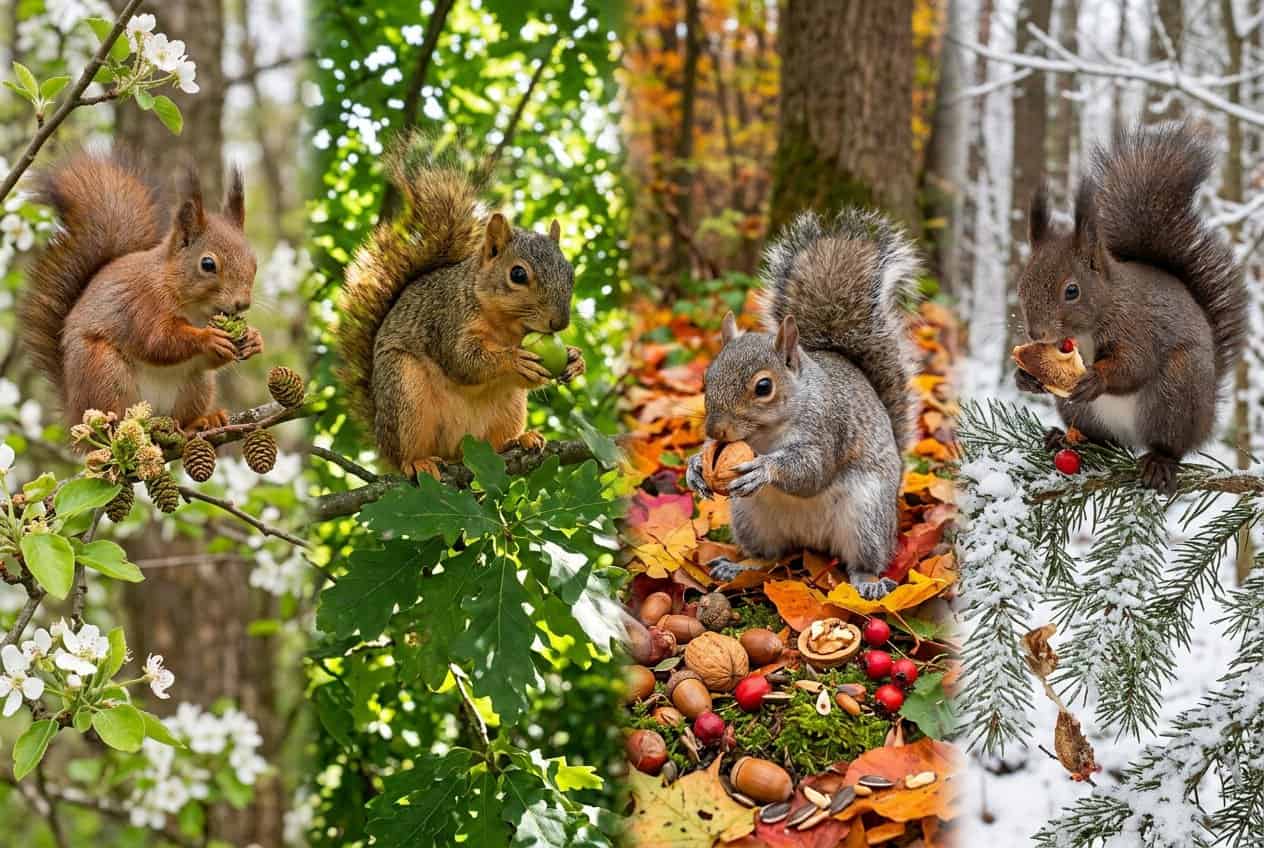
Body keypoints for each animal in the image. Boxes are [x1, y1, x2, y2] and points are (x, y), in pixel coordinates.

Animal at [20, 149, 262, 432]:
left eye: (254, 262)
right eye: (208, 264)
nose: (242, 303)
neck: (195, 310)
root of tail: (73, 409)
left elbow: (207, 359)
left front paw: (254, 338)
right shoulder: (142, 304)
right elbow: (157, 341)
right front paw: (208, 338)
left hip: (197, 385)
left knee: (183, 415)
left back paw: (201, 421)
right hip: (102, 370)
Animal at [337, 136, 585, 479]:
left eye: (570, 272)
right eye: (518, 274)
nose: (559, 323)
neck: (507, 327)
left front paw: (574, 359)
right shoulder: (447, 320)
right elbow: (462, 360)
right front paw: (512, 359)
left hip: (508, 407)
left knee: (495, 443)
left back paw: (518, 440)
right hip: (404, 391)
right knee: (407, 451)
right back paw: (417, 462)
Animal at [685, 208, 919, 600]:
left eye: (764, 387)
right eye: (706, 378)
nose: (715, 429)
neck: (764, 435)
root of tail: (813, 542)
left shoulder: (827, 427)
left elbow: (812, 470)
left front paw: (765, 469)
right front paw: (694, 466)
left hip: (868, 517)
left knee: (864, 561)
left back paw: (868, 583)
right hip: (751, 519)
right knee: (769, 557)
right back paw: (738, 566)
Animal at [1014, 122, 1246, 494]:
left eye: (1072, 291)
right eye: (1021, 286)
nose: (1037, 333)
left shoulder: (1138, 326)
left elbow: (1135, 364)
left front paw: (1097, 377)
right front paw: (1024, 377)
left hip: (1175, 392)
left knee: (1171, 444)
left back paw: (1159, 462)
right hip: (1080, 412)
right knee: (1102, 440)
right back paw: (1063, 439)